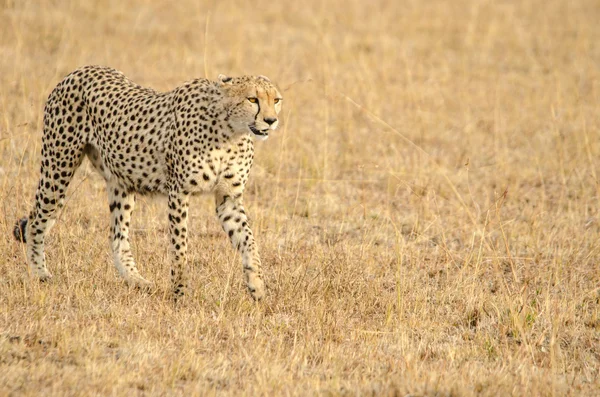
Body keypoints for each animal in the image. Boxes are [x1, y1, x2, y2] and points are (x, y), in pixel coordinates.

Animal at [12, 65, 282, 300]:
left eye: (276, 100)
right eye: (252, 100)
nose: (271, 121)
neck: (231, 132)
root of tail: (78, 71)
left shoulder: (228, 198)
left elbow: (248, 240)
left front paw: (257, 287)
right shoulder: (178, 193)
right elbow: (180, 248)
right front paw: (180, 294)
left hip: (121, 182)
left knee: (117, 237)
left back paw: (136, 280)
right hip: (57, 168)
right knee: (36, 220)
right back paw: (39, 273)